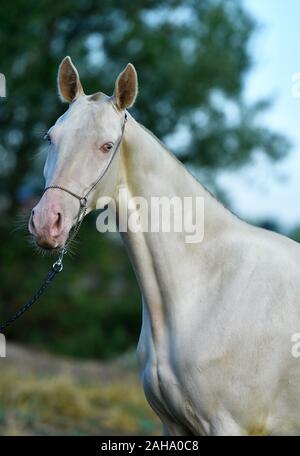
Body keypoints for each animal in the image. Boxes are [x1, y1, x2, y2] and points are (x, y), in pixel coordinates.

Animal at [28, 56, 300, 434]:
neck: (207, 288)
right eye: (50, 137)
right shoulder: (172, 424)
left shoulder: (230, 425)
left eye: (106, 146)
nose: (46, 222)